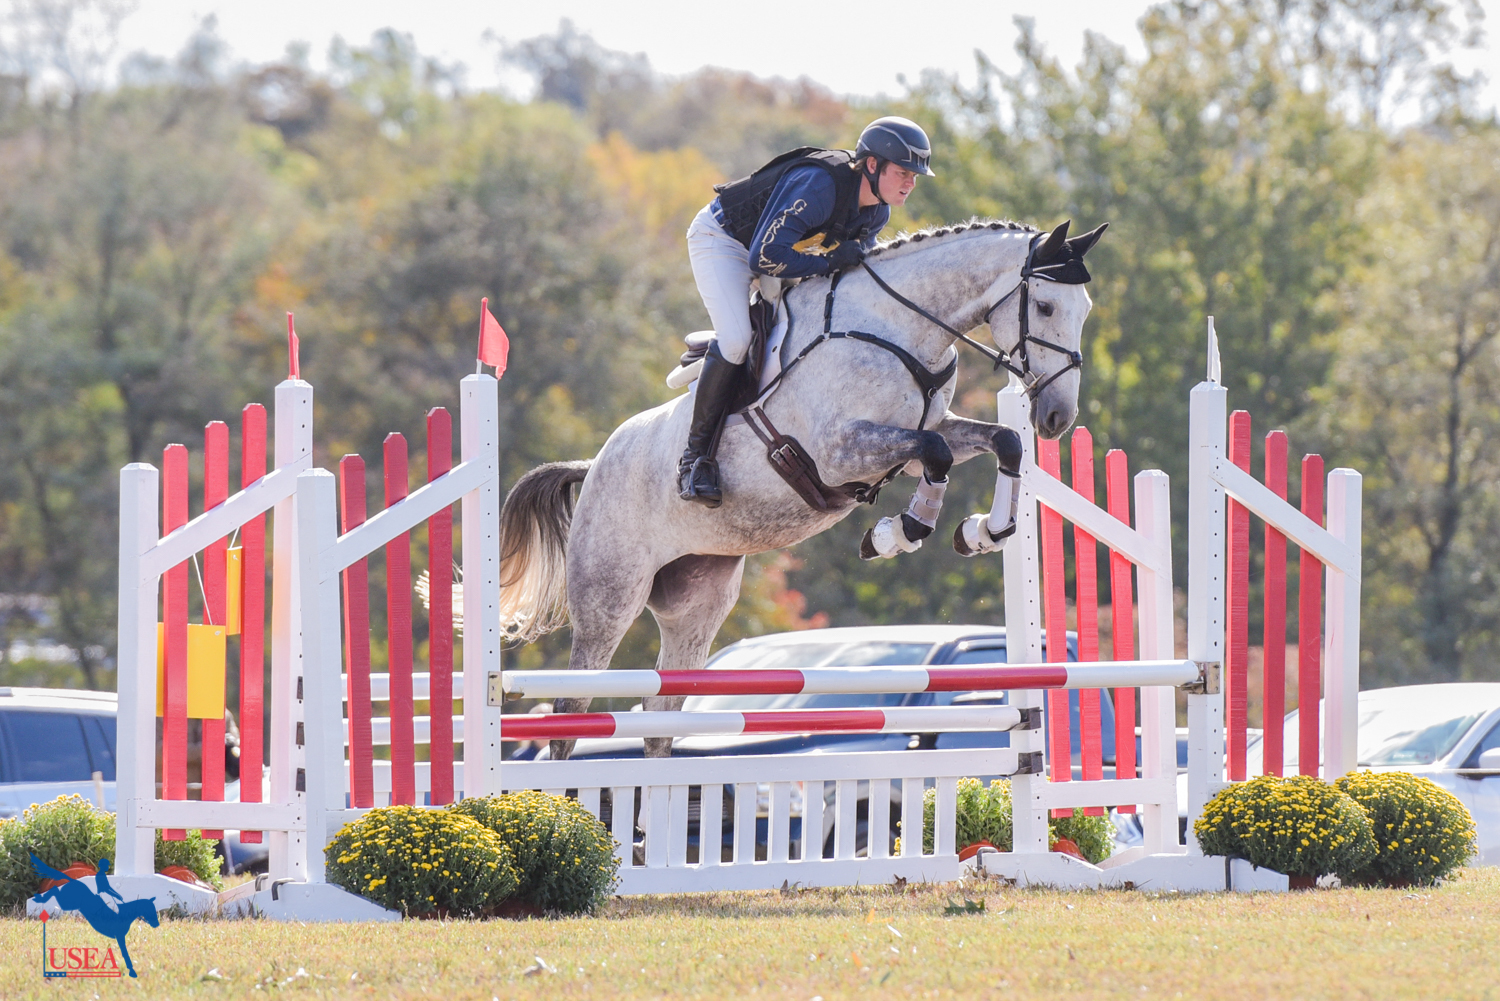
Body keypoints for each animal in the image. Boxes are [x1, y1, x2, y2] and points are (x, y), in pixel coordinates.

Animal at [492, 217, 1104, 759]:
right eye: (1045, 307)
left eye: (1085, 311)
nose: (1057, 417)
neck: (896, 327)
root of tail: (593, 465)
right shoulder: (839, 452)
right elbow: (935, 455)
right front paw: (896, 534)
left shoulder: (918, 439)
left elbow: (1002, 441)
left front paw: (984, 531)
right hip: (610, 596)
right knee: (572, 713)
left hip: (697, 602)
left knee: (662, 717)